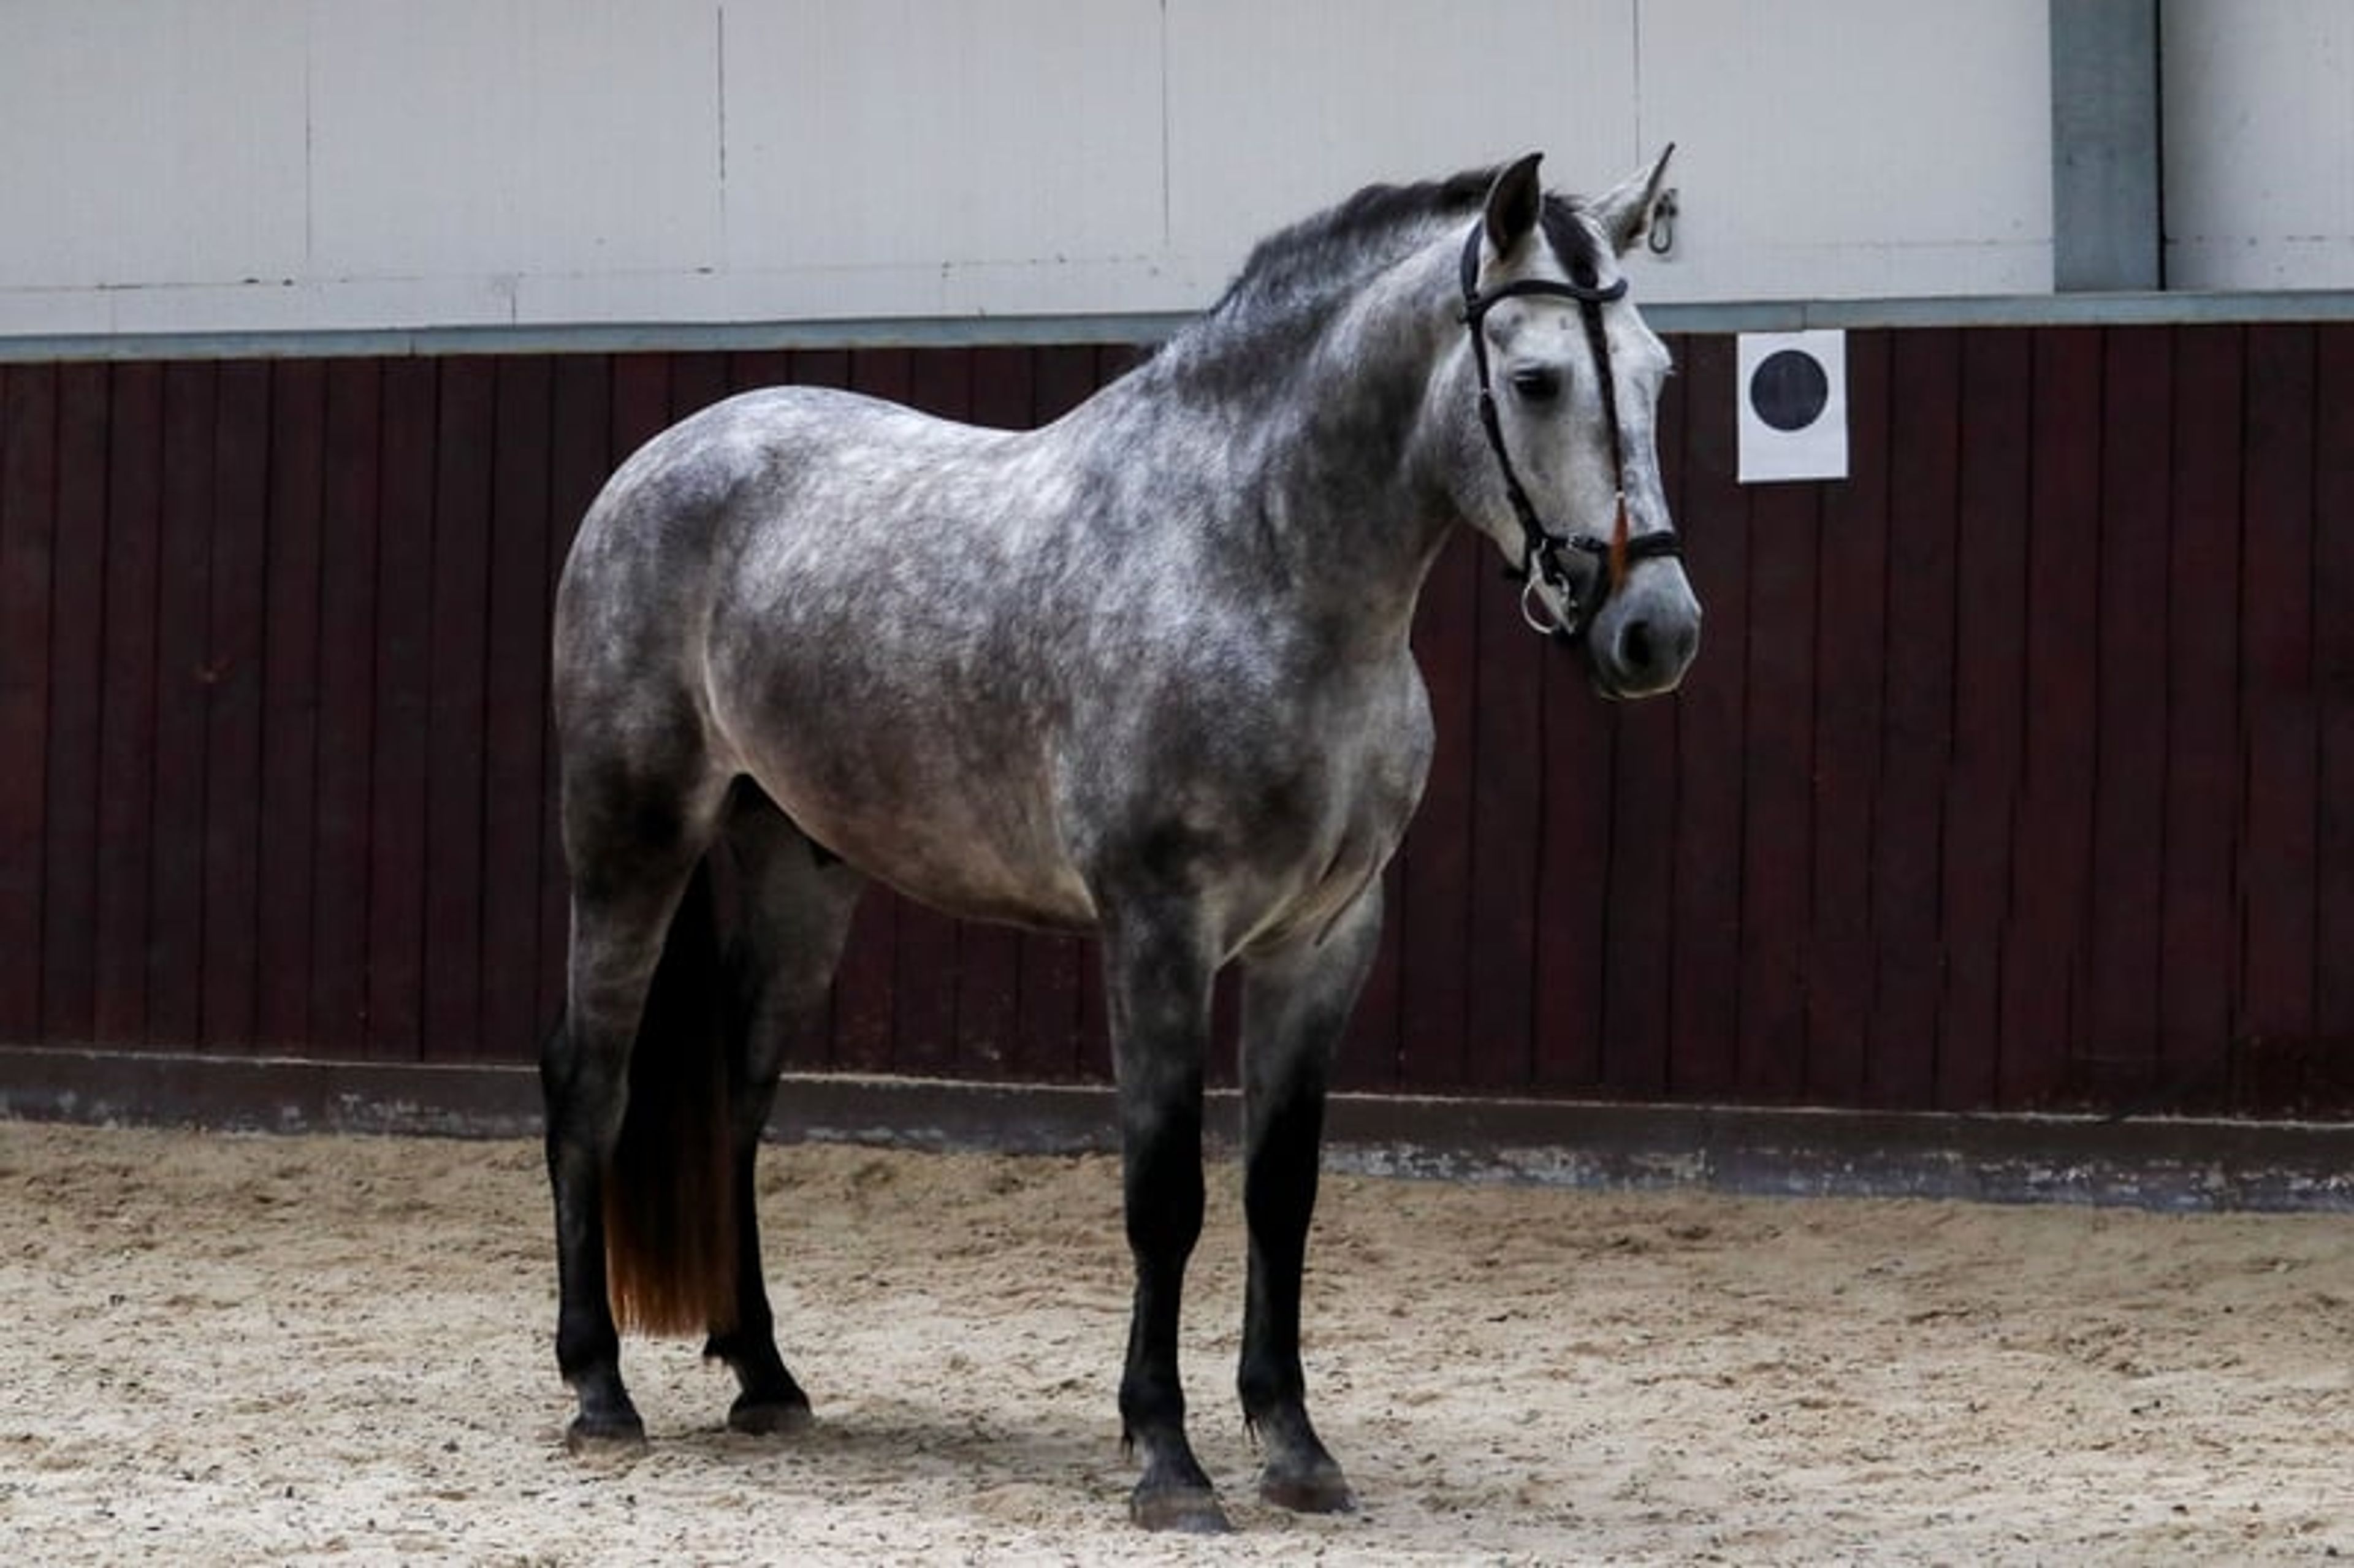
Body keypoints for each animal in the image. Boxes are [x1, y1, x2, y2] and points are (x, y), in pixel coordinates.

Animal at [541, 148, 1700, 1533]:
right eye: (1535, 380)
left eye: (1657, 376)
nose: (1655, 630)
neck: (1254, 564)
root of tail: (660, 460)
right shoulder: (1159, 931)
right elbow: (1167, 1192)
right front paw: (1169, 1456)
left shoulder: (1324, 941)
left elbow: (1280, 1192)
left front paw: (1295, 1446)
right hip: (629, 838)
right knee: (588, 1084)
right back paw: (598, 1388)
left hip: (798, 880)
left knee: (738, 1106)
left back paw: (766, 1375)